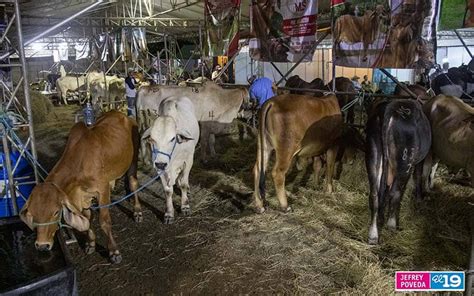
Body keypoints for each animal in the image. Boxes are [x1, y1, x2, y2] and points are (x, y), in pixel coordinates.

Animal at [19, 111, 140, 264]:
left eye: (56, 212)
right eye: (32, 213)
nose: (42, 245)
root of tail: (123, 115)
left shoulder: (102, 189)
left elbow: (104, 222)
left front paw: (114, 252)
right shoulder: (84, 197)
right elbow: (87, 220)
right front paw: (90, 244)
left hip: (133, 160)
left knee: (133, 183)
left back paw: (137, 211)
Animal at [364, 98, 432, 244]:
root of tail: (389, 108)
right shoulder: (418, 161)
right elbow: (418, 176)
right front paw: (419, 198)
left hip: (373, 153)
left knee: (375, 194)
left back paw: (373, 235)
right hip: (405, 162)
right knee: (395, 193)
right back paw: (392, 224)